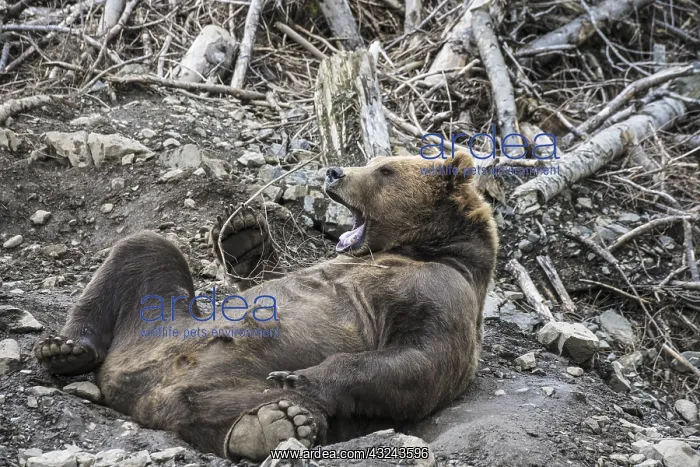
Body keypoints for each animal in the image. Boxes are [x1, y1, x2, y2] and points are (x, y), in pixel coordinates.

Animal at [34, 151, 498, 461]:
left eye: (385, 170)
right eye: (375, 160)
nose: (334, 171)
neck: (423, 248)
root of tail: (139, 395)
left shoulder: (441, 292)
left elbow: (420, 359)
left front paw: (301, 377)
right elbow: (261, 278)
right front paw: (242, 234)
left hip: (231, 383)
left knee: (241, 409)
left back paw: (272, 422)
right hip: (161, 321)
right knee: (145, 247)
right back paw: (65, 349)